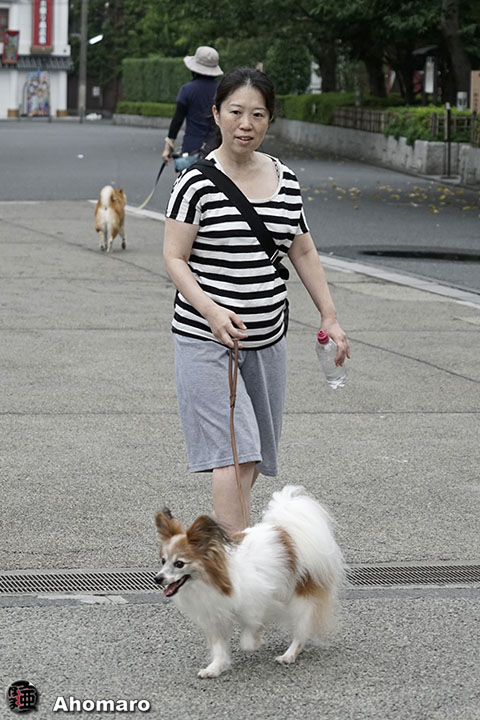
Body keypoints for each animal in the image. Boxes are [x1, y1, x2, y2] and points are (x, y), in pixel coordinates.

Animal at [154, 485, 344, 678]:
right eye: (163, 561)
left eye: (179, 564)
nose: (157, 578)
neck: (213, 580)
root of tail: (287, 531)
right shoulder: (215, 615)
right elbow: (219, 647)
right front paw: (215, 667)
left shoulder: (259, 600)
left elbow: (249, 631)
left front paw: (255, 640)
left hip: (302, 597)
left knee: (301, 629)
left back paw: (289, 654)